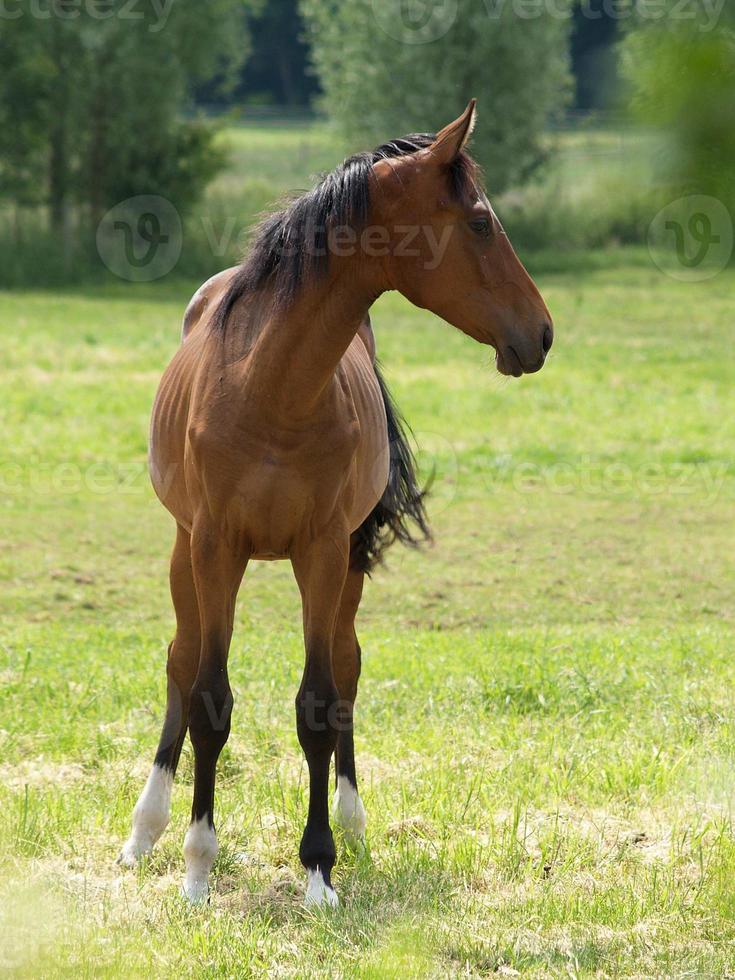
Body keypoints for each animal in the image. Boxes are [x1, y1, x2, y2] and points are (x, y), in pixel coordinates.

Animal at [119, 101, 552, 912]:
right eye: (480, 221)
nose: (540, 333)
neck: (270, 387)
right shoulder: (215, 547)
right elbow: (209, 699)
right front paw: (197, 868)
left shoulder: (322, 551)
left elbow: (319, 702)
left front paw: (319, 869)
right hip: (183, 548)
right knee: (180, 662)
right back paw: (143, 831)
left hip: (343, 562)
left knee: (346, 666)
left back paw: (352, 824)